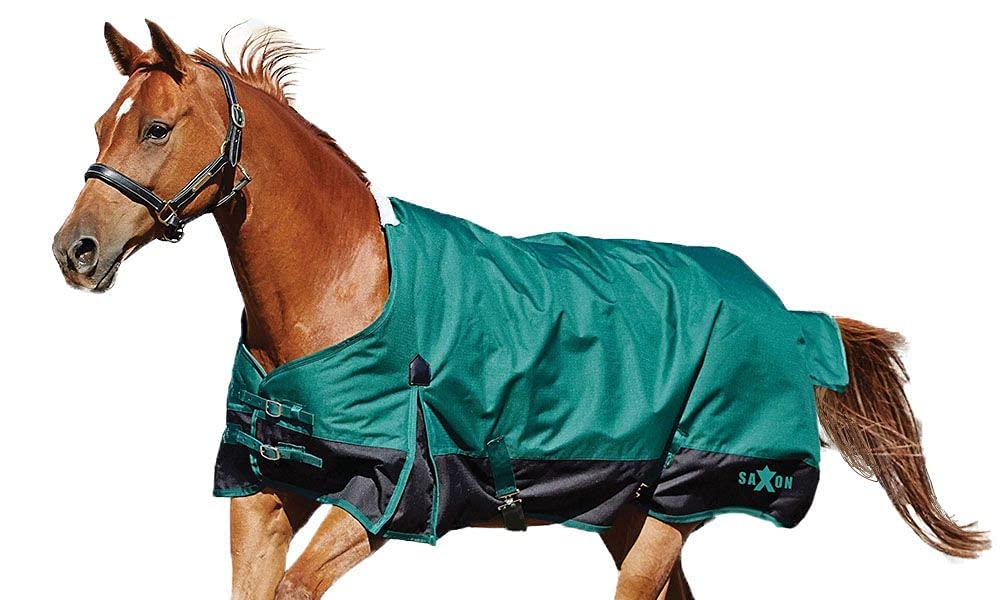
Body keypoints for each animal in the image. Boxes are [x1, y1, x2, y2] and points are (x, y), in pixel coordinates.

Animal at [52, 21, 988, 600]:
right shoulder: (266, 487)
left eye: (158, 128)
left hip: (674, 508)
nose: (74, 251)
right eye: (102, 124)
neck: (338, 295)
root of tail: (790, 316)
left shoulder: (379, 499)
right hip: (632, 513)